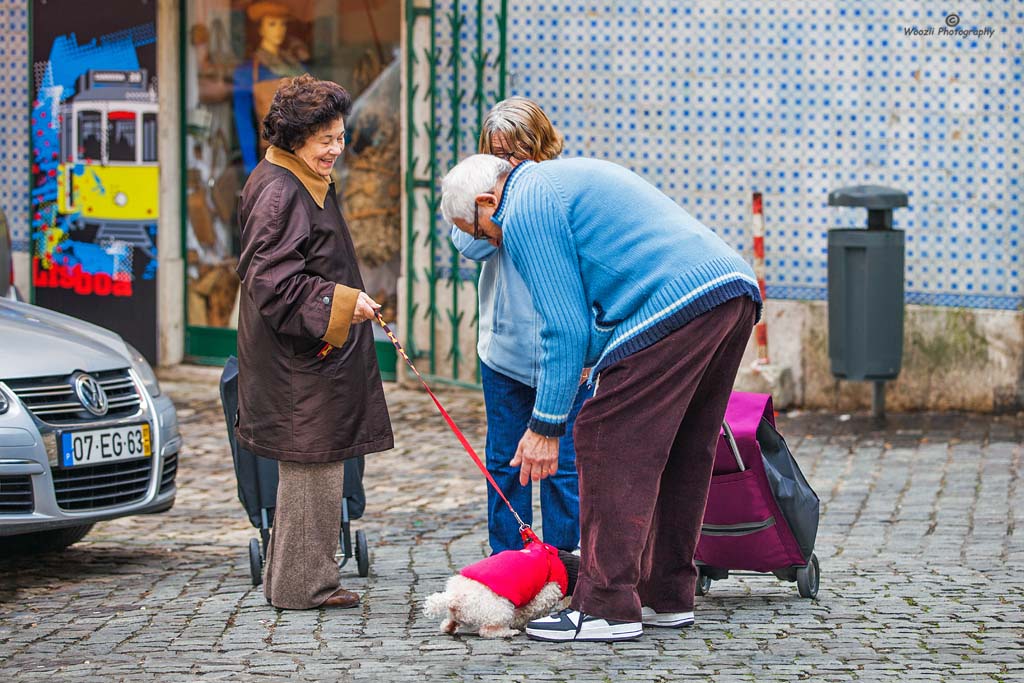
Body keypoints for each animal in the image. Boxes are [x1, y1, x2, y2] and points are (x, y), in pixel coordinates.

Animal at [423, 540, 581, 643]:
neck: (568, 566)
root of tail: (455, 597)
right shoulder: (544, 595)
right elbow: (527, 611)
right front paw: (519, 623)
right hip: (501, 609)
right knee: (487, 632)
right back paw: (509, 632)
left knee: (447, 625)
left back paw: (449, 627)